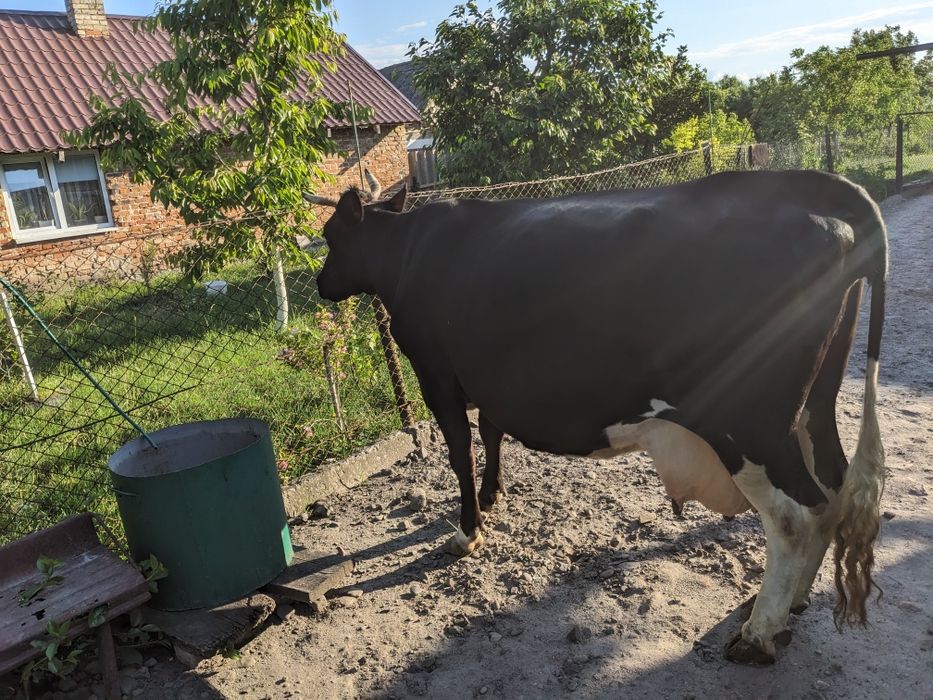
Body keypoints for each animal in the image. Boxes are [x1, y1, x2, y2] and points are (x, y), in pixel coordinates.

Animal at [304, 169, 887, 666]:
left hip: (749, 423)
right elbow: (491, 431)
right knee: (832, 492)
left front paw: (469, 531)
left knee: (795, 518)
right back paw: (790, 605)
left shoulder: (438, 377)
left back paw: (759, 633)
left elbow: (460, 454)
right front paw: (495, 495)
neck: (410, 252)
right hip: (811, 409)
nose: (320, 285)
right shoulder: (489, 381)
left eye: (331, 235)